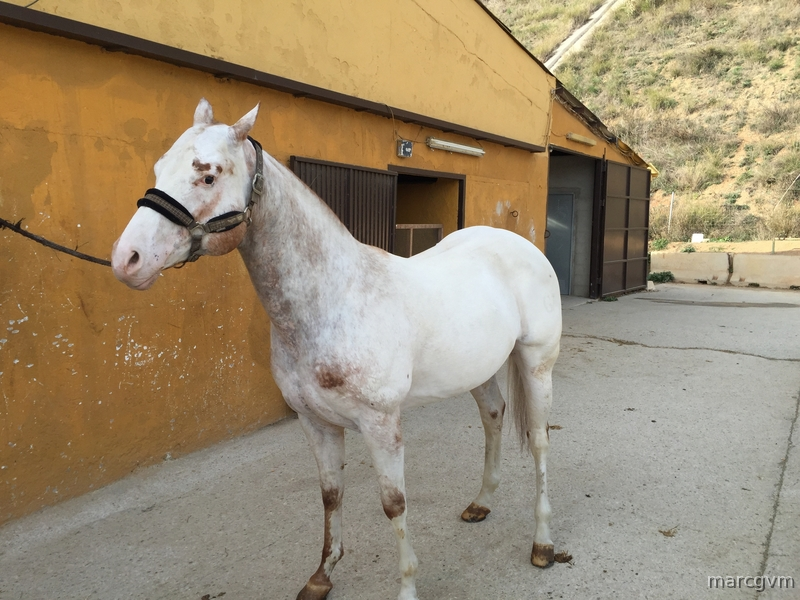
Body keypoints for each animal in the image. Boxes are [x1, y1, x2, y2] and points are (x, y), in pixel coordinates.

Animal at [111, 99, 562, 600]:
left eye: (208, 175)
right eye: (159, 167)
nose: (127, 259)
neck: (333, 301)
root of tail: (520, 244)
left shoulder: (382, 425)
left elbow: (393, 503)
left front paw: (407, 587)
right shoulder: (316, 423)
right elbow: (331, 495)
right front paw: (321, 576)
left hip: (536, 364)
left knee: (540, 442)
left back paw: (543, 544)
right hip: (478, 370)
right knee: (494, 417)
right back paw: (481, 502)